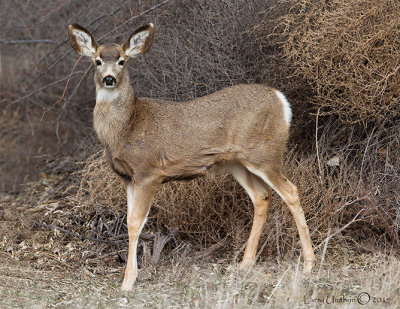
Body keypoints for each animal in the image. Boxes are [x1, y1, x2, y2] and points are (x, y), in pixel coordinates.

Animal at [67, 22, 314, 290]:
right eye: (97, 61)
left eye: (122, 61)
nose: (109, 79)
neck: (126, 127)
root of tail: (281, 101)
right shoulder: (128, 178)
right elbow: (131, 221)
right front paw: (130, 277)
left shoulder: (148, 172)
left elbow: (135, 223)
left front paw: (128, 281)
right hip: (236, 162)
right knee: (261, 196)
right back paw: (244, 264)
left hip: (264, 154)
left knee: (291, 191)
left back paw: (309, 265)